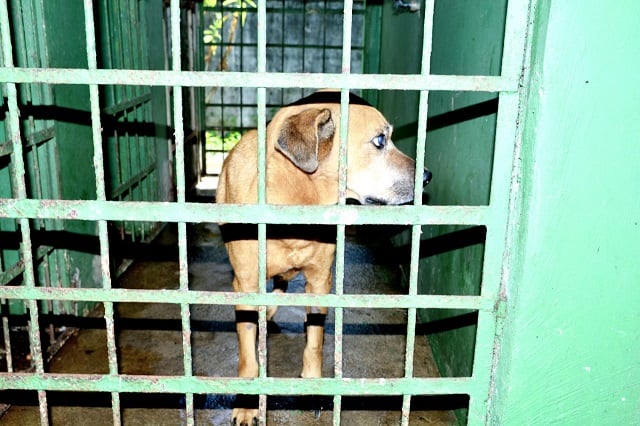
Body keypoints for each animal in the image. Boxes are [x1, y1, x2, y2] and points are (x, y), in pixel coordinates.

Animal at [218, 91, 432, 424]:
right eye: (380, 140)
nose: (427, 176)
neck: (295, 195)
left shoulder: (320, 281)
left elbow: (315, 342)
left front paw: (313, 387)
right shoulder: (245, 282)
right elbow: (248, 356)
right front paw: (247, 402)